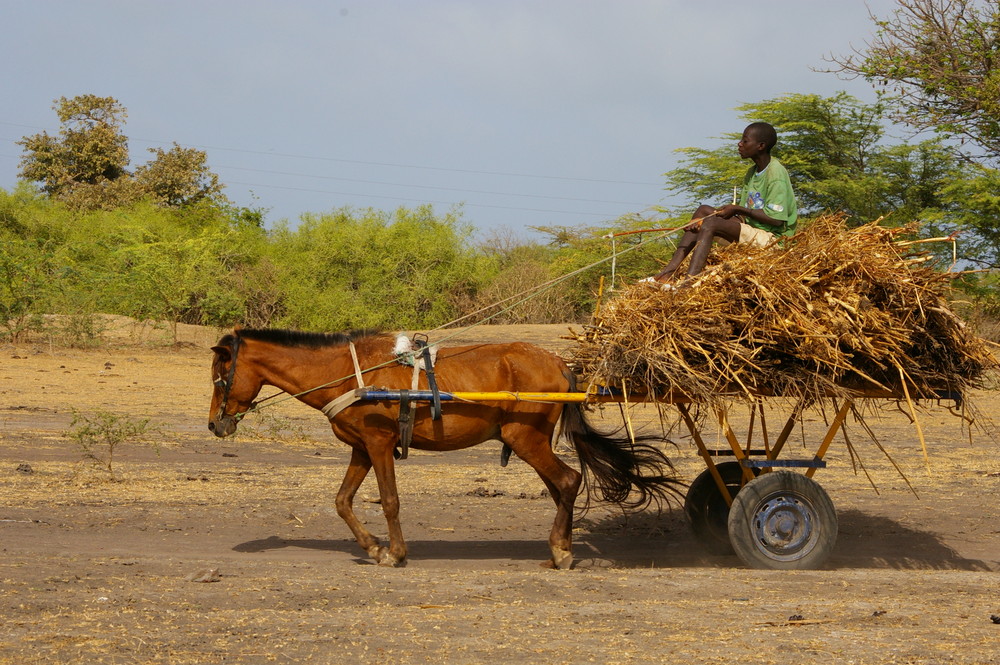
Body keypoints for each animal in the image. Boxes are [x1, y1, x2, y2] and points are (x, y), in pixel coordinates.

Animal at [208, 326, 684, 564]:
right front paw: (373, 547)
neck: (348, 372)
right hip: (532, 443)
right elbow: (342, 501)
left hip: (525, 439)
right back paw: (561, 545)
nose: (215, 424)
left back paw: (561, 551)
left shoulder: (379, 444)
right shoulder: (362, 447)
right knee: (562, 487)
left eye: (219, 376)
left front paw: (395, 553)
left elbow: (389, 501)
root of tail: (559, 363)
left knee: (567, 481)